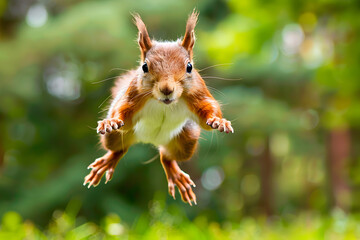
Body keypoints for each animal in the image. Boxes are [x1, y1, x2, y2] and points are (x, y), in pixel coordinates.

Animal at [84, 11, 236, 205]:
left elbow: (208, 110)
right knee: (120, 147)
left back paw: (175, 173)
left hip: (187, 140)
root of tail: (150, 140)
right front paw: (113, 121)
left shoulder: (198, 93)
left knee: (166, 156)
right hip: (114, 137)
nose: (167, 89)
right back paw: (108, 160)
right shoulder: (133, 95)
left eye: (189, 66)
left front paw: (218, 121)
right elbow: (123, 112)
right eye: (144, 66)